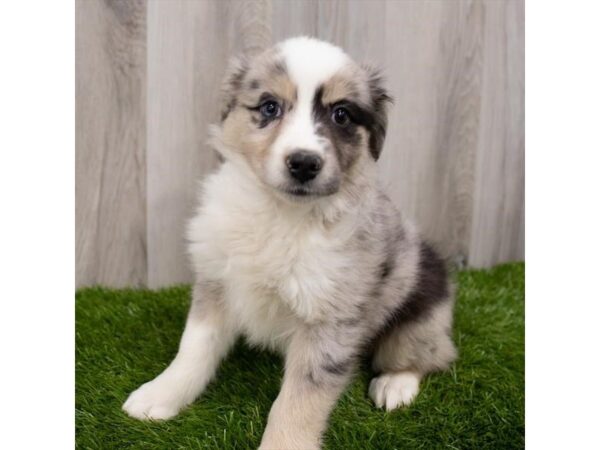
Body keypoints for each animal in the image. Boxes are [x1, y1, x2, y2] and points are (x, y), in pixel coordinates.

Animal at [124, 37, 458, 448]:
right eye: (270, 106)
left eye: (342, 115)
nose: (303, 163)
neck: (280, 213)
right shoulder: (216, 280)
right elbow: (194, 348)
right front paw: (160, 395)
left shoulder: (329, 319)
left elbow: (299, 400)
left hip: (421, 311)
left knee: (431, 354)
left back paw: (395, 385)